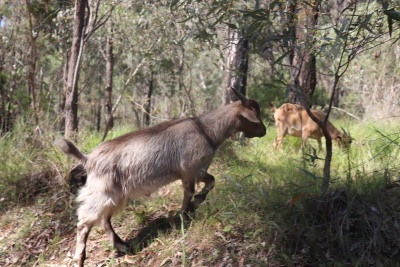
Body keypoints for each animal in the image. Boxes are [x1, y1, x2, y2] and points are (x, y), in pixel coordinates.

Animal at [54, 89, 266, 266]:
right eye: (255, 117)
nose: (264, 131)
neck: (206, 130)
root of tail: (88, 159)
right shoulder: (192, 170)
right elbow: (196, 189)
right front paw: (186, 212)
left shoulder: (192, 172)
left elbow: (205, 184)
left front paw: (189, 209)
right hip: (102, 192)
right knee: (84, 223)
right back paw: (80, 258)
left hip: (115, 195)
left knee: (104, 219)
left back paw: (121, 245)